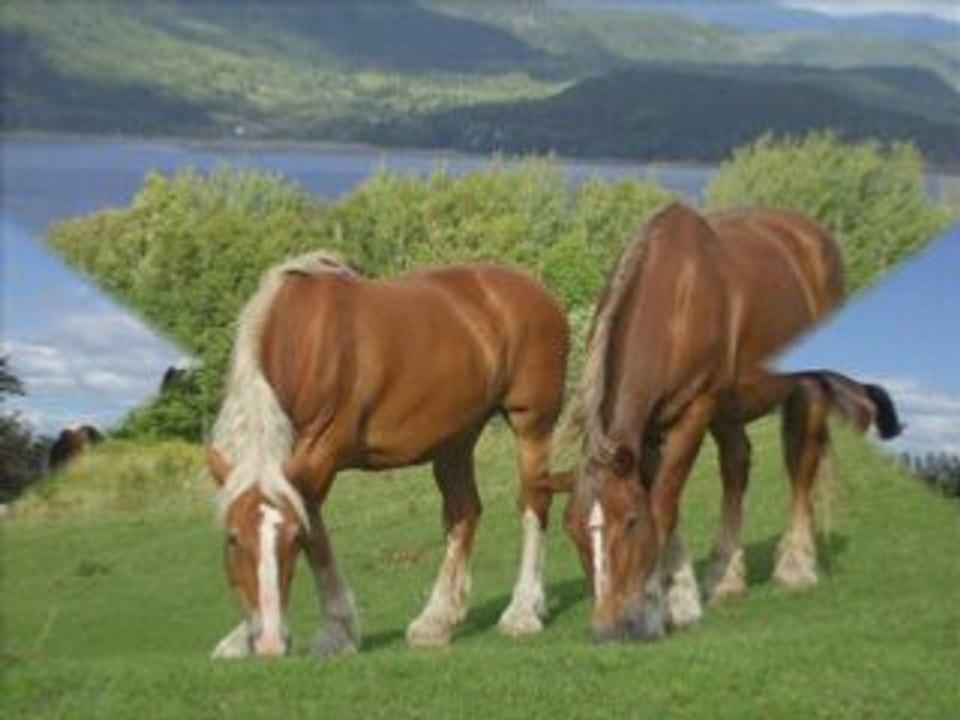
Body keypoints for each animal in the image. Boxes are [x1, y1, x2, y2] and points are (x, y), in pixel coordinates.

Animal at [205, 252, 569, 658]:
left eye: (293, 539)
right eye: (233, 539)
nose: (269, 643)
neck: (303, 339)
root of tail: (536, 290)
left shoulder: (320, 455)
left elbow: (318, 541)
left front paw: (336, 632)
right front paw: (240, 639)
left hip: (532, 424)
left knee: (534, 503)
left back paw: (523, 611)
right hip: (456, 437)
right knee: (464, 512)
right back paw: (436, 621)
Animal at [562, 203, 902, 642]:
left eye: (630, 523)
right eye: (573, 530)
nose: (607, 628)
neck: (675, 303)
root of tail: (814, 234)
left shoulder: (695, 412)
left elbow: (663, 505)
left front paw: (662, 607)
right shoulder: (650, 431)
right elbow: (668, 503)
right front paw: (680, 597)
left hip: (806, 390)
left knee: (801, 465)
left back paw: (795, 568)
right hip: (729, 412)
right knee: (737, 468)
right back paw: (726, 578)